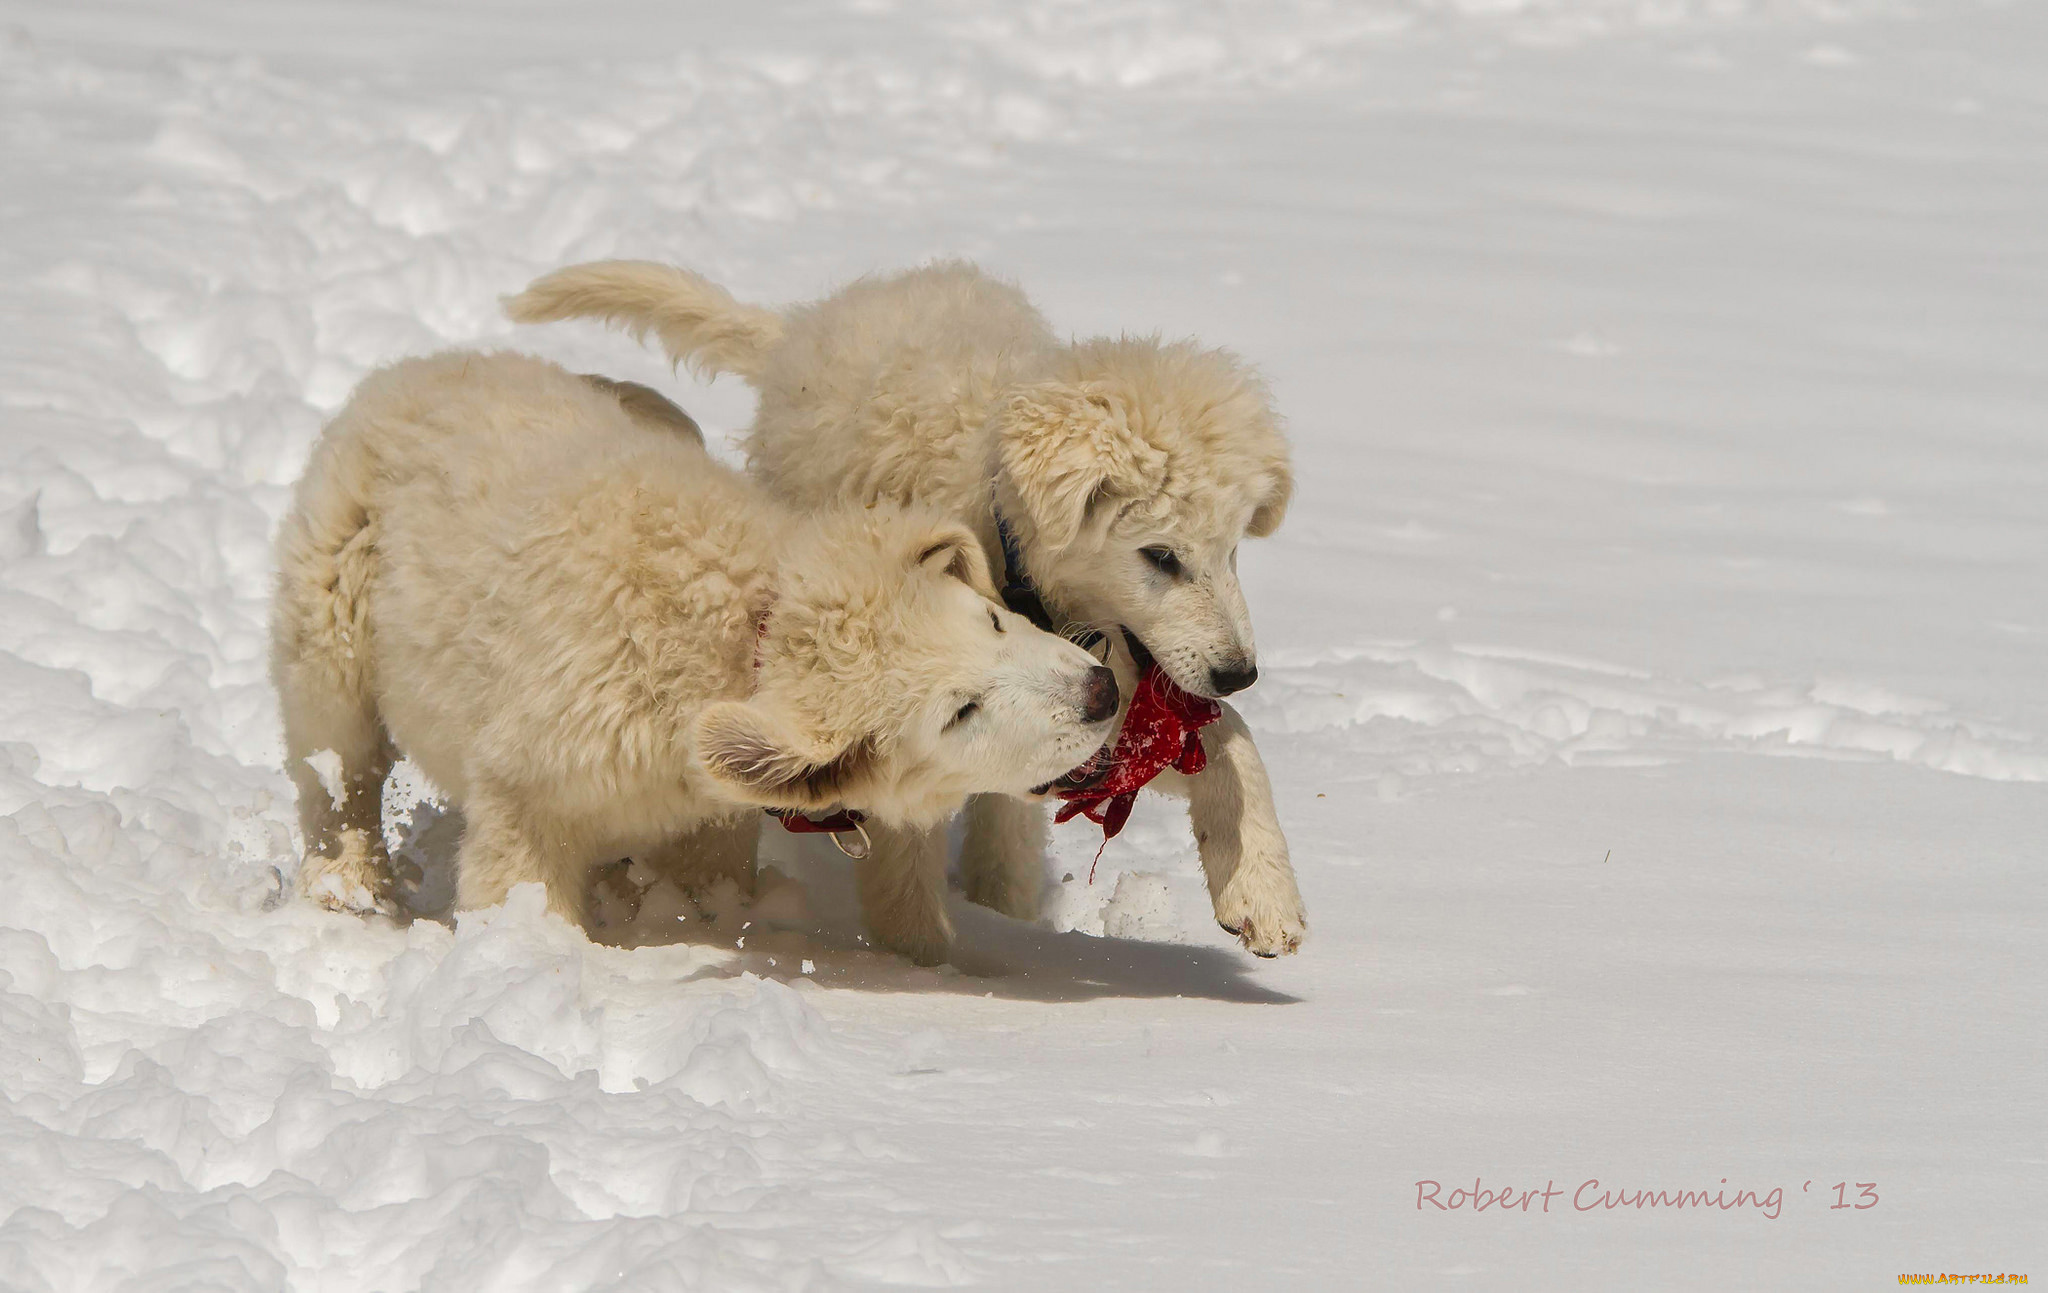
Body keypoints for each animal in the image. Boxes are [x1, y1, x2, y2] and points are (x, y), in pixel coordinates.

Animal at [272, 348, 1122, 967]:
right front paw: (540, 954)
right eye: (960, 712)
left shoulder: (709, 802)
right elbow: (517, 873)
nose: (1101, 690)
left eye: (995, 620)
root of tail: (407, 371)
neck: (744, 630)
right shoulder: (530, 784)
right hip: (330, 619)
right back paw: (349, 880)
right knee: (335, 762)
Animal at [512, 258, 1310, 954]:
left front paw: (1261, 889)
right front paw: (924, 962)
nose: (1241, 672)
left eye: (1233, 550)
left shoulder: (1087, 674)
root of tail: (803, 328)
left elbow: (1229, 741)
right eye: (1160, 555)